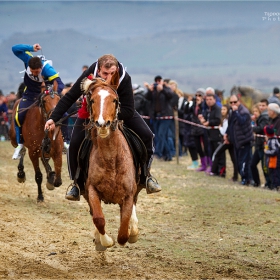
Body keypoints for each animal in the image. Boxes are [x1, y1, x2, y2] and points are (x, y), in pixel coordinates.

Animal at [81, 75, 142, 250]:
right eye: (92, 100)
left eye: (114, 100)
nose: (102, 124)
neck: (111, 160)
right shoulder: (92, 190)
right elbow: (98, 219)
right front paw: (106, 241)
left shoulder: (128, 194)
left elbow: (123, 231)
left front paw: (130, 233)